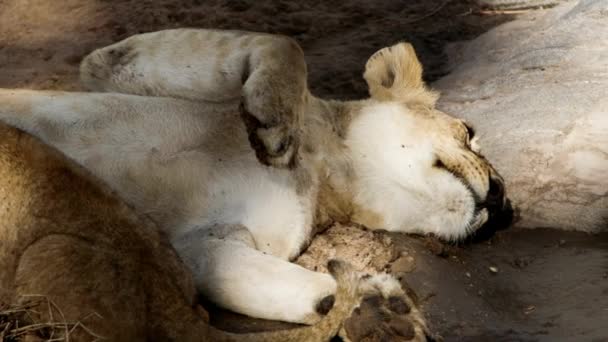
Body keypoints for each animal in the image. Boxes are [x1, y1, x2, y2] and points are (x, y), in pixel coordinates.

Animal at [0, 28, 510, 336]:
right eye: (469, 132)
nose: (503, 197)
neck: (328, 168)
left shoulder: (204, 246)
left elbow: (295, 287)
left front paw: (380, 308)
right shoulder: (106, 66)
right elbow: (283, 45)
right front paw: (273, 123)